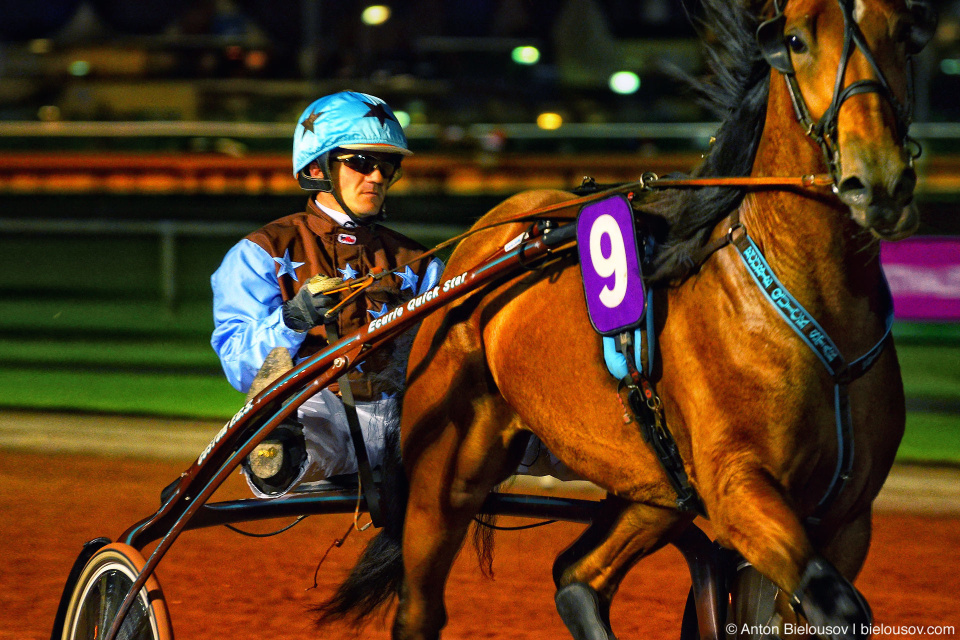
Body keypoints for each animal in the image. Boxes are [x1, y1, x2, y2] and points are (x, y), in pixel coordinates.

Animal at [316, 1, 936, 640]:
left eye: (906, 34)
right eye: (796, 40)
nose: (879, 180)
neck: (808, 303)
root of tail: (485, 238)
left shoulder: (847, 519)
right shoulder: (740, 489)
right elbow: (834, 603)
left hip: (656, 486)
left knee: (576, 575)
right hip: (449, 470)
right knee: (422, 604)